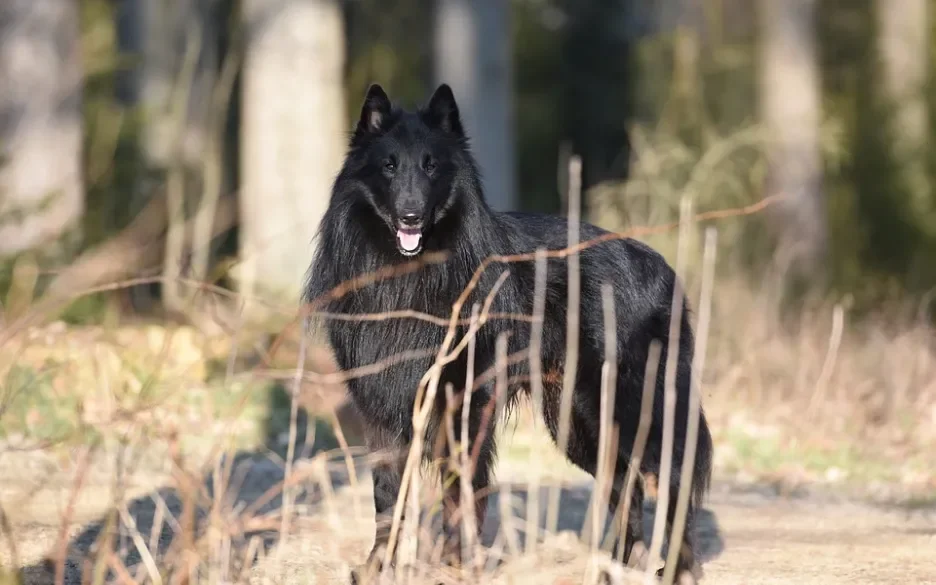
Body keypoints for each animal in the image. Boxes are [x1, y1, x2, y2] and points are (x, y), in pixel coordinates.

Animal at [304, 81, 712, 580]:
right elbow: (387, 499)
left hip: (628, 408)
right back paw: (611, 565)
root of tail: (665, 269)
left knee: (672, 479)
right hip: (578, 422)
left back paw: (676, 569)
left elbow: (460, 491)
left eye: (431, 166)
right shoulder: (381, 410)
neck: (411, 276)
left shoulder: (463, 403)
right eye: (389, 166)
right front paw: (379, 568)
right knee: (626, 486)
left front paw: (457, 566)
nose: (411, 217)